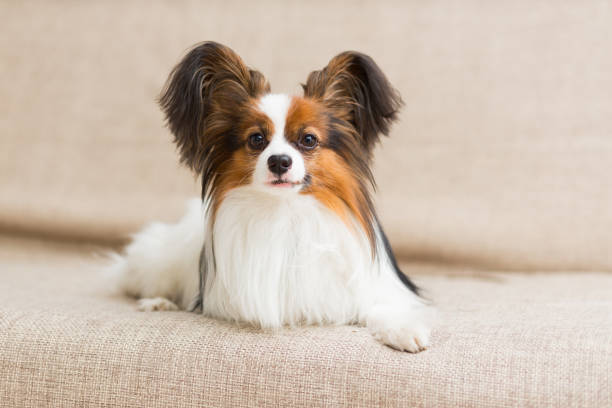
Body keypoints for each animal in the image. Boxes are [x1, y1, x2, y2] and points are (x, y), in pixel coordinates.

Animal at [113, 42, 430, 354]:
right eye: (256, 140)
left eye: (308, 140)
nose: (279, 161)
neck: (286, 211)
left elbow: (380, 307)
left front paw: (403, 330)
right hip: (159, 263)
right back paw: (157, 302)